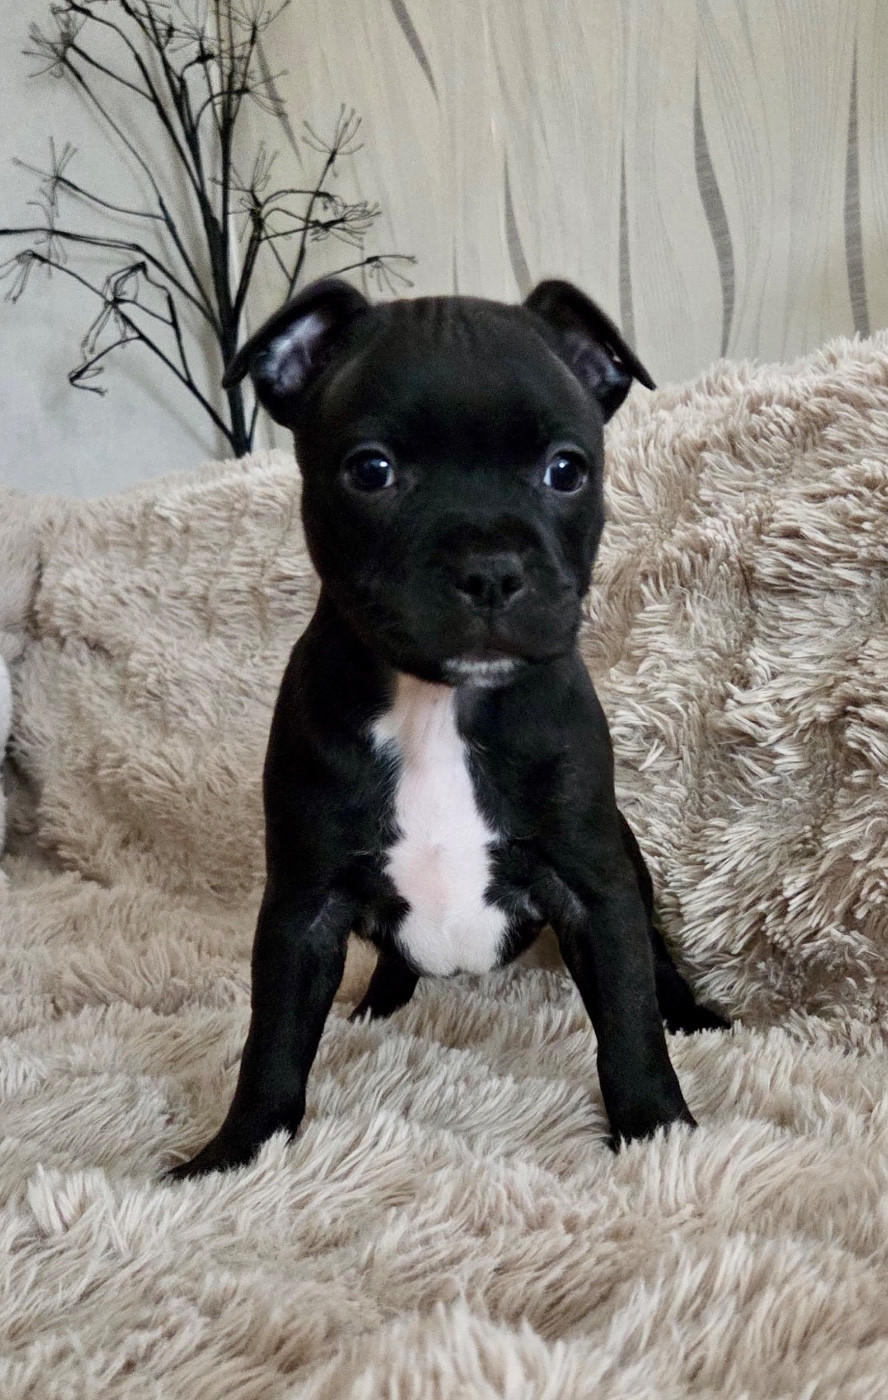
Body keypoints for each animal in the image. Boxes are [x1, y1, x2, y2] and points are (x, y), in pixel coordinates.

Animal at [169, 277, 728, 1178]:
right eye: (371, 471)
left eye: (566, 470)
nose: (490, 568)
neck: (438, 704)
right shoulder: (301, 911)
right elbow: (274, 1041)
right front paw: (235, 1155)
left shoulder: (596, 888)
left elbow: (629, 1022)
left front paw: (657, 1133)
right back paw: (379, 1004)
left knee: (655, 960)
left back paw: (695, 1013)